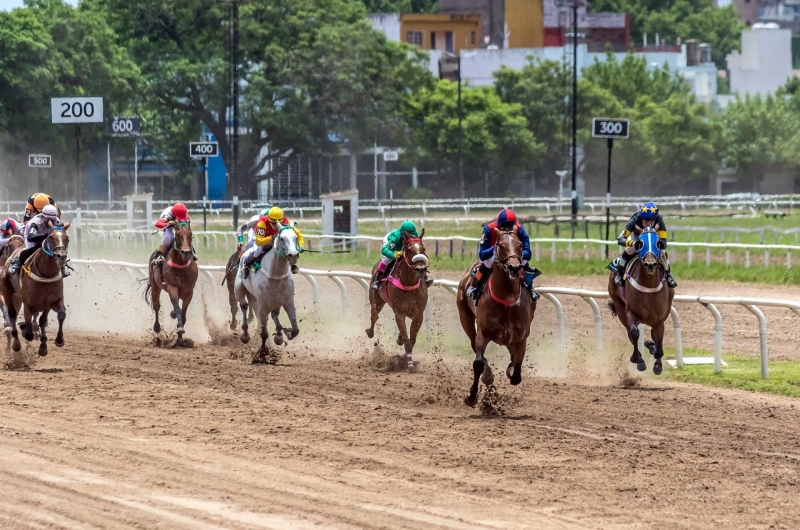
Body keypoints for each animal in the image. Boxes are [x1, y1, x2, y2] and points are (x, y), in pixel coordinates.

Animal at [238, 223, 304, 358]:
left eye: (295, 237)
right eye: (282, 238)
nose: (293, 255)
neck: (276, 274)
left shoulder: (288, 301)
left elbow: (295, 329)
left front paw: (286, 333)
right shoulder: (262, 305)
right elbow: (264, 333)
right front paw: (262, 352)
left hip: (274, 301)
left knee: (274, 314)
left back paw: (279, 334)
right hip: (239, 289)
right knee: (244, 306)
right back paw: (245, 335)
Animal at [368, 229, 432, 370]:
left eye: (423, 249)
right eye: (409, 249)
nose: (420, 269)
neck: (408, 283)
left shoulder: (418, 315)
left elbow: (412, 340)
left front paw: (405, 358)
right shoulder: (399, 313)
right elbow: (408, 340)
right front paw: (409, 363)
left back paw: (399, 338)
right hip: (377, 300)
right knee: (374, 315)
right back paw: (370, 331)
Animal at [456, 229, 536, 406]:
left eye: (520, 245)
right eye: (500, 246)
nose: (514, 267)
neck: (506, 299)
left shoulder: (521, 336)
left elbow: (517, 371)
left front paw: (511, 369)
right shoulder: (483, 333)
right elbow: (478, 363)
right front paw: (472, 395)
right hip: (465, 317)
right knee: (473, 343)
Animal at [608, 225, 676, 374]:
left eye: (658, 243)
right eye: (640, 243)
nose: (650, 264)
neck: (648, 286)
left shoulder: (659, 319)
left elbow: (658, 338)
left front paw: (658, 365)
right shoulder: (630, 312)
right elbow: (634, 333)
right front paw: (637, 359)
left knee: (652, 336)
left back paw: (650, 346)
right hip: (619, 306)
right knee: (630, 332)